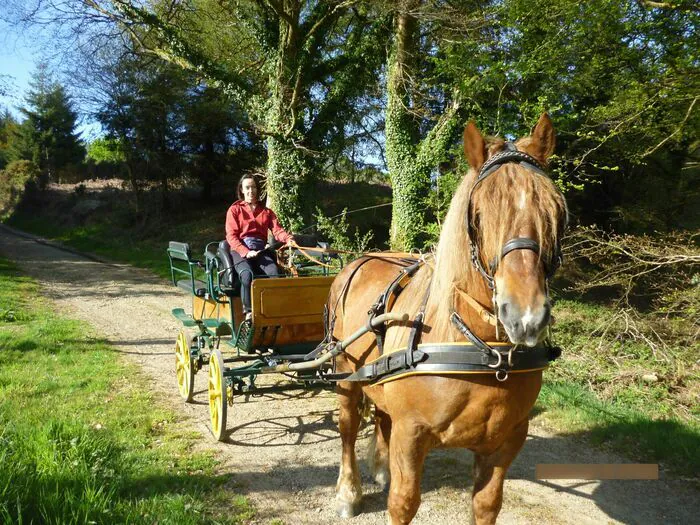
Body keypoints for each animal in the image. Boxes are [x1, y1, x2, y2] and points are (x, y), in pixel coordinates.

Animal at [328, 115, 568, 524]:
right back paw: (349, 490)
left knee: (381, 415)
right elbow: (403, 503)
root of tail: (359, 261)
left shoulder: (506, 441)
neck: (482, 351)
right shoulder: (411, 434)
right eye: (478, 216)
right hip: (345, 370)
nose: (525, 316)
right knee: (347, 428)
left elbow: (486, 505)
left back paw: (380, 466)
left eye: (555, 211)